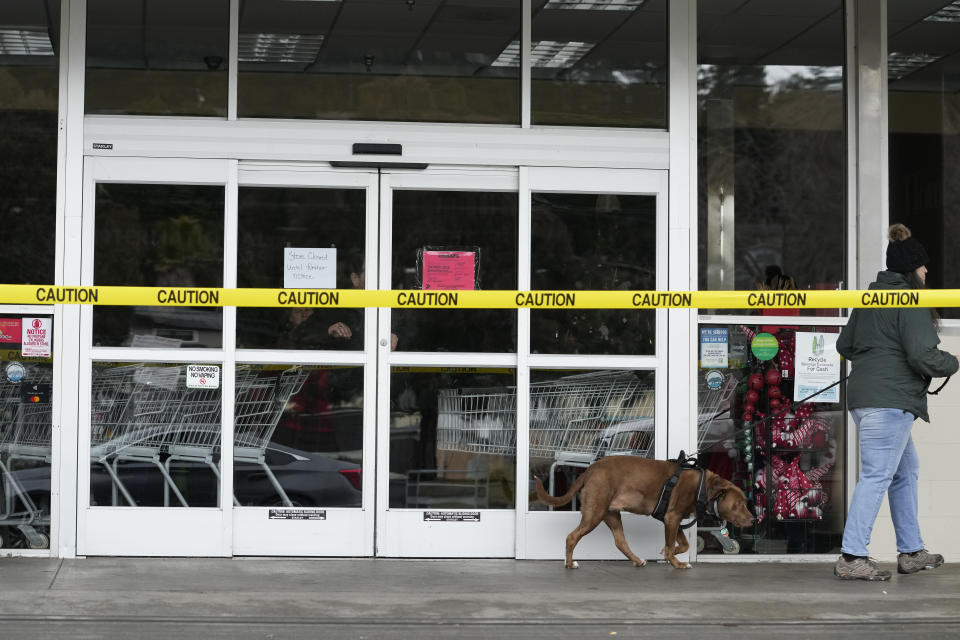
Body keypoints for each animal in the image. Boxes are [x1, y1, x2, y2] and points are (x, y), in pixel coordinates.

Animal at [536, 456, 752, 568]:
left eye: (745, 502)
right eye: (739, 503)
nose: (753, 519)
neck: (703, 487)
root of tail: (591, 470)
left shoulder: (673, 520)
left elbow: (683, 544)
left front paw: (667, 552)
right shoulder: (672, 518)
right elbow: (674, 546)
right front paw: (677, 563)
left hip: (612, 514)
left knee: (620, 542)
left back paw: (637, 560)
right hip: (594, 513)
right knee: (572, 537)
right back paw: (569, 563)